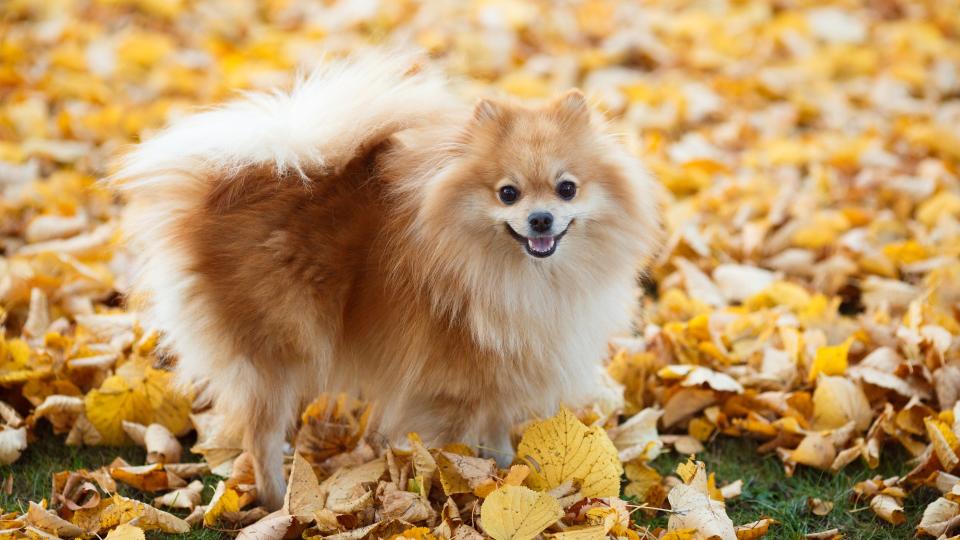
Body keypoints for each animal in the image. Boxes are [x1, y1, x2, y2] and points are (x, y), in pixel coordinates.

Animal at [114, 50, 660, 506]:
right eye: (508, 193)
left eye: (567, 189)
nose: (541, 219)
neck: (519, 274)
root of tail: (227, 186)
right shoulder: (454, 380)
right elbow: (460, 444)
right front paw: (467, 494)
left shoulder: (502, 368)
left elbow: (498, 428)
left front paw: (507, 472)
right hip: (279, 348)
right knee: (259, 435)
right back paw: (274, 502)